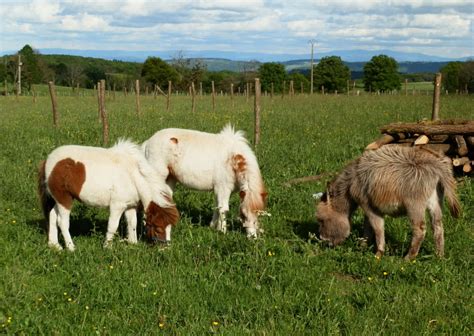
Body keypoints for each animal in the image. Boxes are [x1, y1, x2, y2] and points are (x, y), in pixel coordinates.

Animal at [38, 138, 180, 251]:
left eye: (170, 228)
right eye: (158, 228)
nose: (165, 249)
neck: (132, 175)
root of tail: (48, 160)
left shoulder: (130, 206)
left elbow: (132, 224)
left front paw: (133, 244)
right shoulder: (117, 206)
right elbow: (113, 226)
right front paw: (107, 247)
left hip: (58, 200)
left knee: (52, 216)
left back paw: (54, 245)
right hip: (64, 199)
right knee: (62, 222)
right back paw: (71, 247)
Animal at [316, 146, 462, 260]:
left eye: (321, 220)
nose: (323, 241)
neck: (352, 180)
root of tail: (436, 164)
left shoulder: (369, 206)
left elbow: (378, 229)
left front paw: (378, 254)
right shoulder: (369, 207)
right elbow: (368, 227)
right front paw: (363, 246)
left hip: (414, 205)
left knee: (420, 230)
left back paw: (408, 258)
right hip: (435, 201)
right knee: (438, 227)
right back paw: (439, 256)